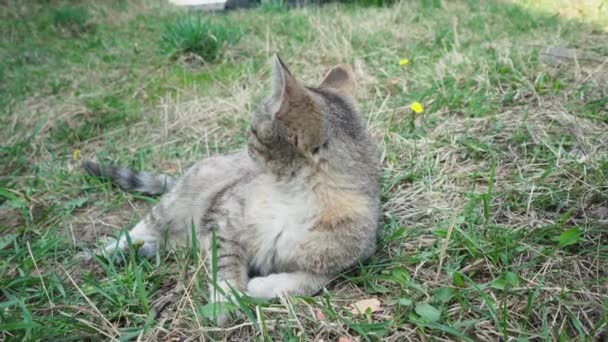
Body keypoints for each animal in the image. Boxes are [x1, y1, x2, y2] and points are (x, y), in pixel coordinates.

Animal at [84, 54, 380, 322]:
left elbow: (310, 281)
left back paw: (142, 251)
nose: (245, 139)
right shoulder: (220, 220)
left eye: (253, 129)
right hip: (176, 202)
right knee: (143, 227)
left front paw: (263, 286)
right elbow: (225, 263)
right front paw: (226, 300)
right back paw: (110, 252)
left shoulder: (348, 259)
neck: (293, 197)